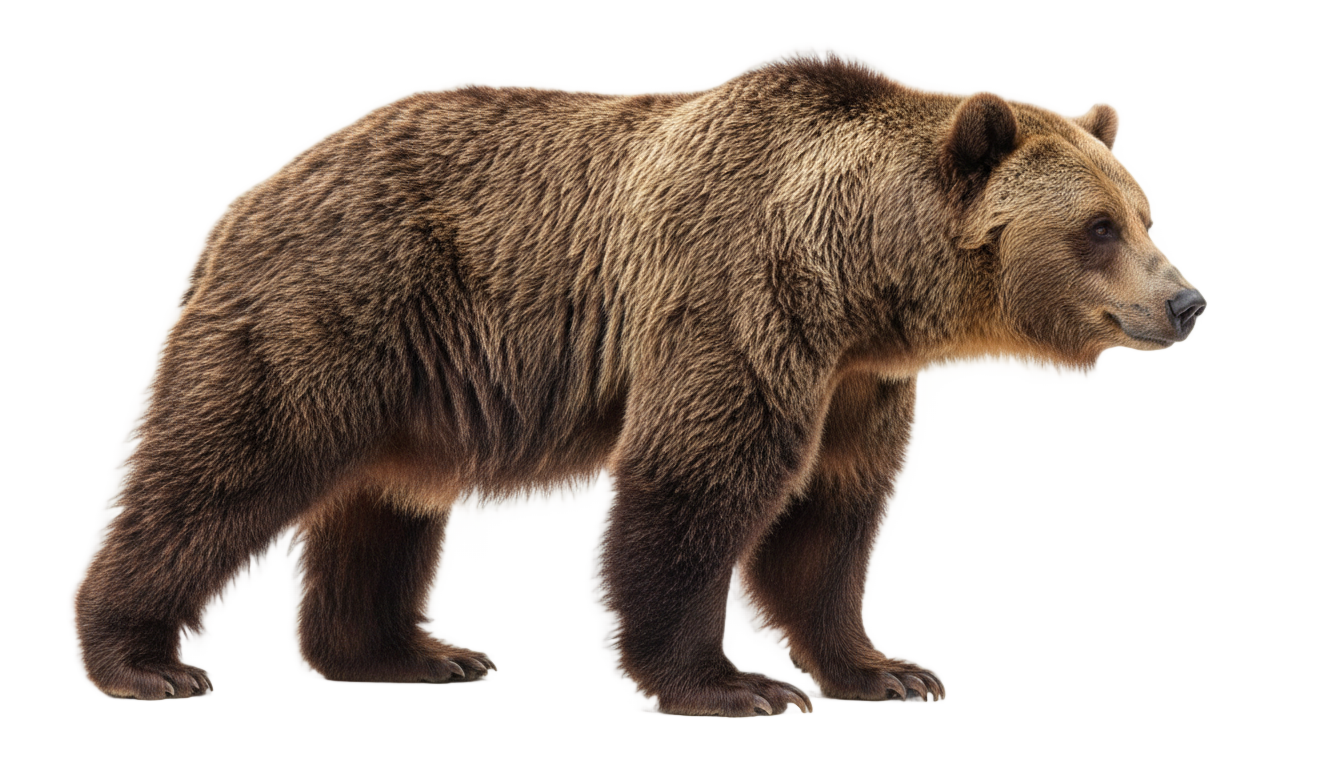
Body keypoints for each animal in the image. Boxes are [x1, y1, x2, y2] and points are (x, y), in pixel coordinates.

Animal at [74, 54, 1203, 715]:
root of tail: (249, 195)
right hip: (331, 308)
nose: (1185, 299)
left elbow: (829, 522)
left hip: (408, 384)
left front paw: (885, 670)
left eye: (1145, 214)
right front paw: (730, 688)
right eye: (1098, 227)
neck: (859, 282)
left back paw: (414, 654)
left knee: (383, 507)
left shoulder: (855, 381)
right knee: (222, 466)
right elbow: (697, 488)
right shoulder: (738, 302)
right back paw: (144, 662)